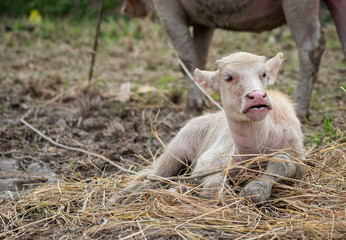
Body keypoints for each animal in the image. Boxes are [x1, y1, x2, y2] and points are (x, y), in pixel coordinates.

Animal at [115, 52, 302, 202]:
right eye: (228, 77)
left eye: (264, 74)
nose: (257, 96)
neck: (254, 149)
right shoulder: (207, 162)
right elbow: (212, 182)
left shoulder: (298, 158)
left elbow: (283, 162)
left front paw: (255, 189)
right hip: (174, 151)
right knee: (153, 177)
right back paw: (125, 195)